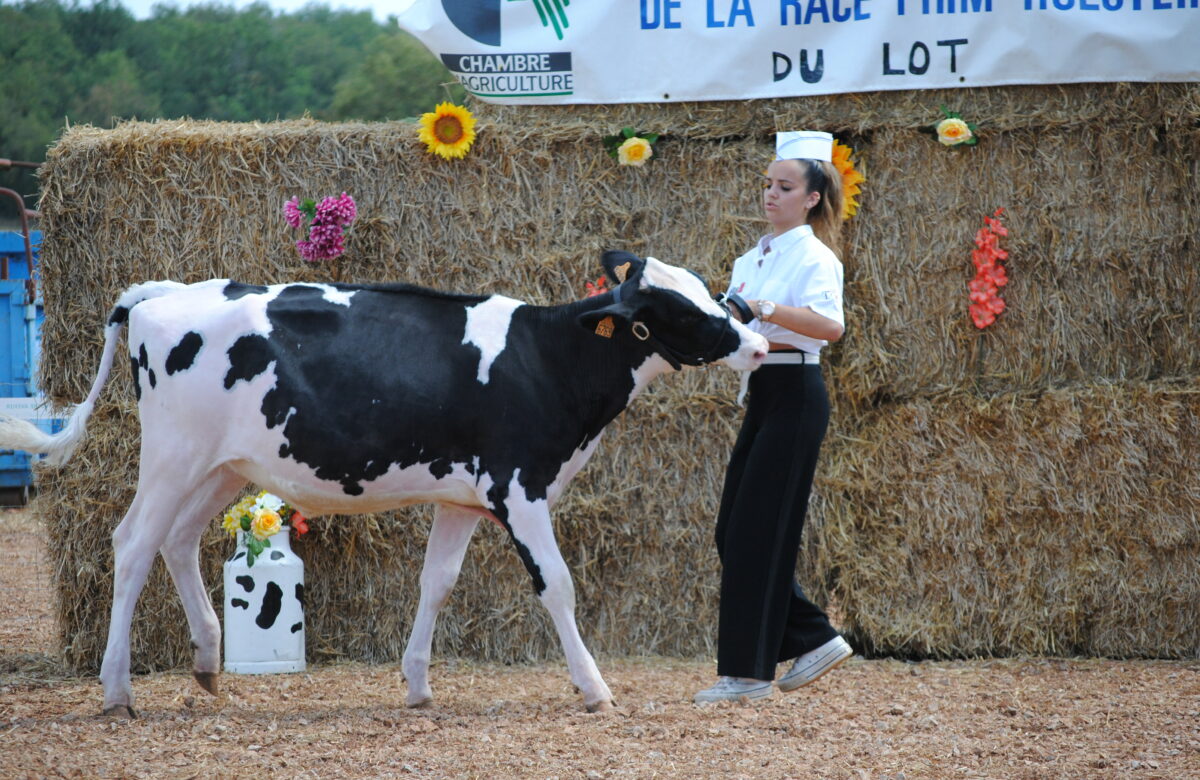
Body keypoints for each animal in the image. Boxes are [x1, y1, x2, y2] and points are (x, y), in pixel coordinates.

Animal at [0, 252, 763, 715]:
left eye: (708, 291)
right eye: (679, 310)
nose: (757, 343)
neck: (546, 358)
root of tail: (162, 294)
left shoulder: (462, 498)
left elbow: (438, 582)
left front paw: (419, 684)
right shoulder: (519, 490)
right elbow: (559, 585)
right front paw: (595, 687)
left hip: (223, 467)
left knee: (178, 540)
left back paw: (209, 660)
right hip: (171, 455)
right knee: (131, 545)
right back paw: (117, 690)